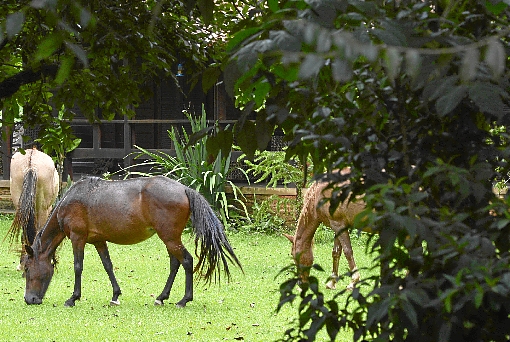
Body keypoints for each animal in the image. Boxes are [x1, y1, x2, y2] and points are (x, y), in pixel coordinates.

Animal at [21, 176, 241, 308]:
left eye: (27, 269)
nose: (29, 299)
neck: (70, 201)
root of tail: (185, 189)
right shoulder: (99, 241)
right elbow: (108, 266)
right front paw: (115, 295)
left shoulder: (77, 238)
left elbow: (78, 267)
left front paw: (73, 298)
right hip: (170, 239)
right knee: (175, 263)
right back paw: (162, 297)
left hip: (169, 238)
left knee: (186, 261)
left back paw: (183, 300)